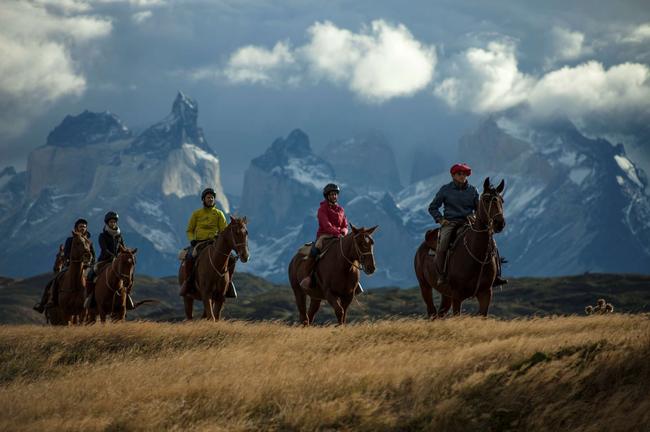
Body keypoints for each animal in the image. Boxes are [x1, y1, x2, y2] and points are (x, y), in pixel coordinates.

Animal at [412, 177, 504, 318]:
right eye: (486, 200)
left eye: (501, 200)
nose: (500, 223)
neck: (476, 252)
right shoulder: (457, 295)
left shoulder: (486, 293)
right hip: (425, 286)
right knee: (432, 312)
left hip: (445, 294)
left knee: (441, 313)